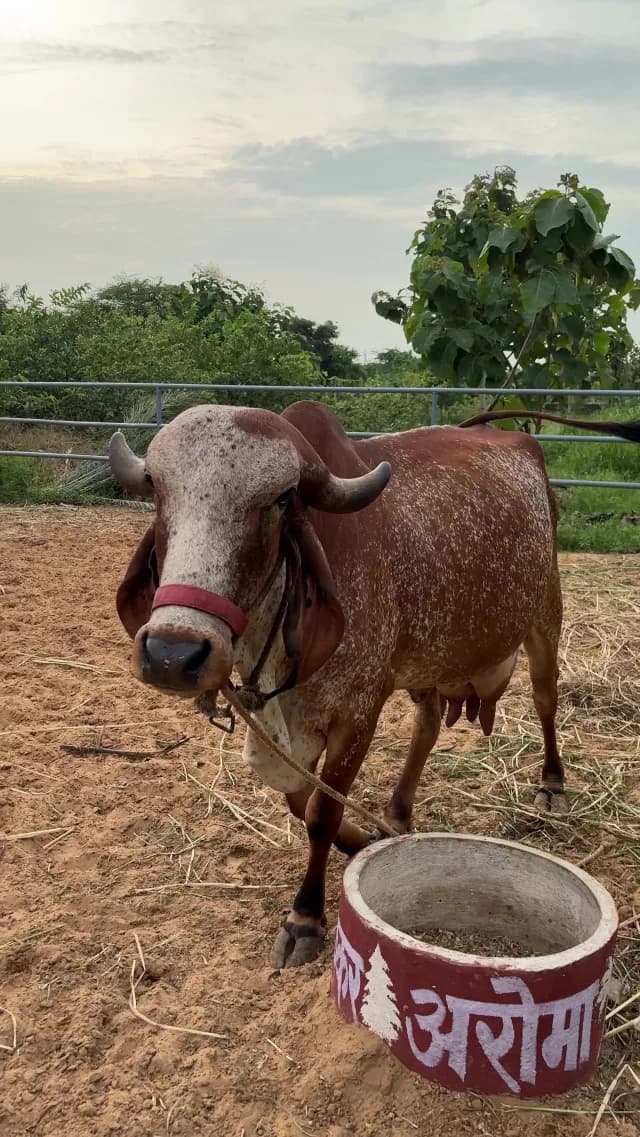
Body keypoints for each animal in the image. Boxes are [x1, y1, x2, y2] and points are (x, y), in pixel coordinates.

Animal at [109, 401, 640, 968]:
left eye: (281, 498)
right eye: (158, 491)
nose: (172, 654)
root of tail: (516, 440)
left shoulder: (359, 710)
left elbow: (320, 812)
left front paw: (305, 918)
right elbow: (303, 802)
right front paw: (360, 839)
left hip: (544, 618)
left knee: (545, 700)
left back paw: (552, 783)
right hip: (427, 661)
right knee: (428, 725)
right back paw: (397, 814)